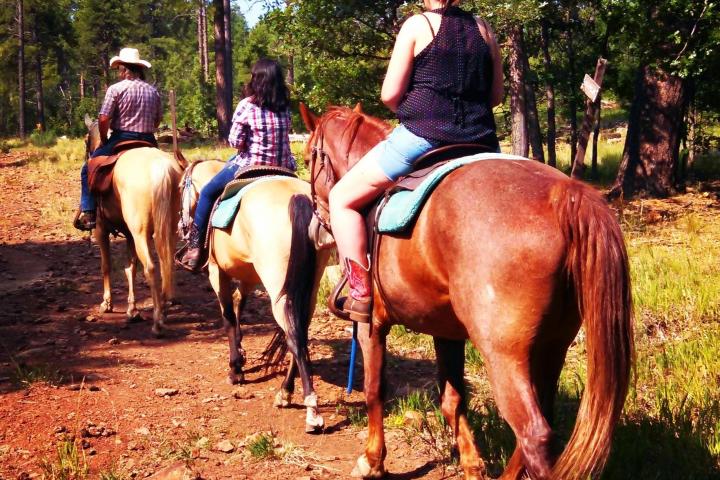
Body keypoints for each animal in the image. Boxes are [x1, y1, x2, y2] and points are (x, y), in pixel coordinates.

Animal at [83, 116, 183, 336]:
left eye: (86, 141)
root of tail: (159, 168)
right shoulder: (129, 235)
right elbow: (131, 267)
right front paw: (132, 309)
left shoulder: (101, 230)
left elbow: (106, 265)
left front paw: (107, 303)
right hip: (169, 229)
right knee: (167, 264)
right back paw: (165, 306)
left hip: (140, 234)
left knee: (151, 268)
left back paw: (157, 322)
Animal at [179, 160, 330, 432]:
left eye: (179, 187)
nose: (179, 227)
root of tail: (298, 197)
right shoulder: (248, 277)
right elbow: (240, 305)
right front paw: (241, 352)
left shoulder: (217, 272)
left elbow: (228, 317)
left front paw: (236, 368)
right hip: (310, 286)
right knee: (300, 332)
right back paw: (285, 392)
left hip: (277, 285)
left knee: (293, 336)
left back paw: (310, 410)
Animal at [300, 105, 636, 480]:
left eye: (308, 157)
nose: (317, 226)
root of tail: (563, 194)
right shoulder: (447, 334)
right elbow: (453, 400)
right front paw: (471, 465)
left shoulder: (370, 324)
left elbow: (375, 390)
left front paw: (373, 461)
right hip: (553, 346)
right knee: (541, 421)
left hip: (504, 355)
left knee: (534, 433)